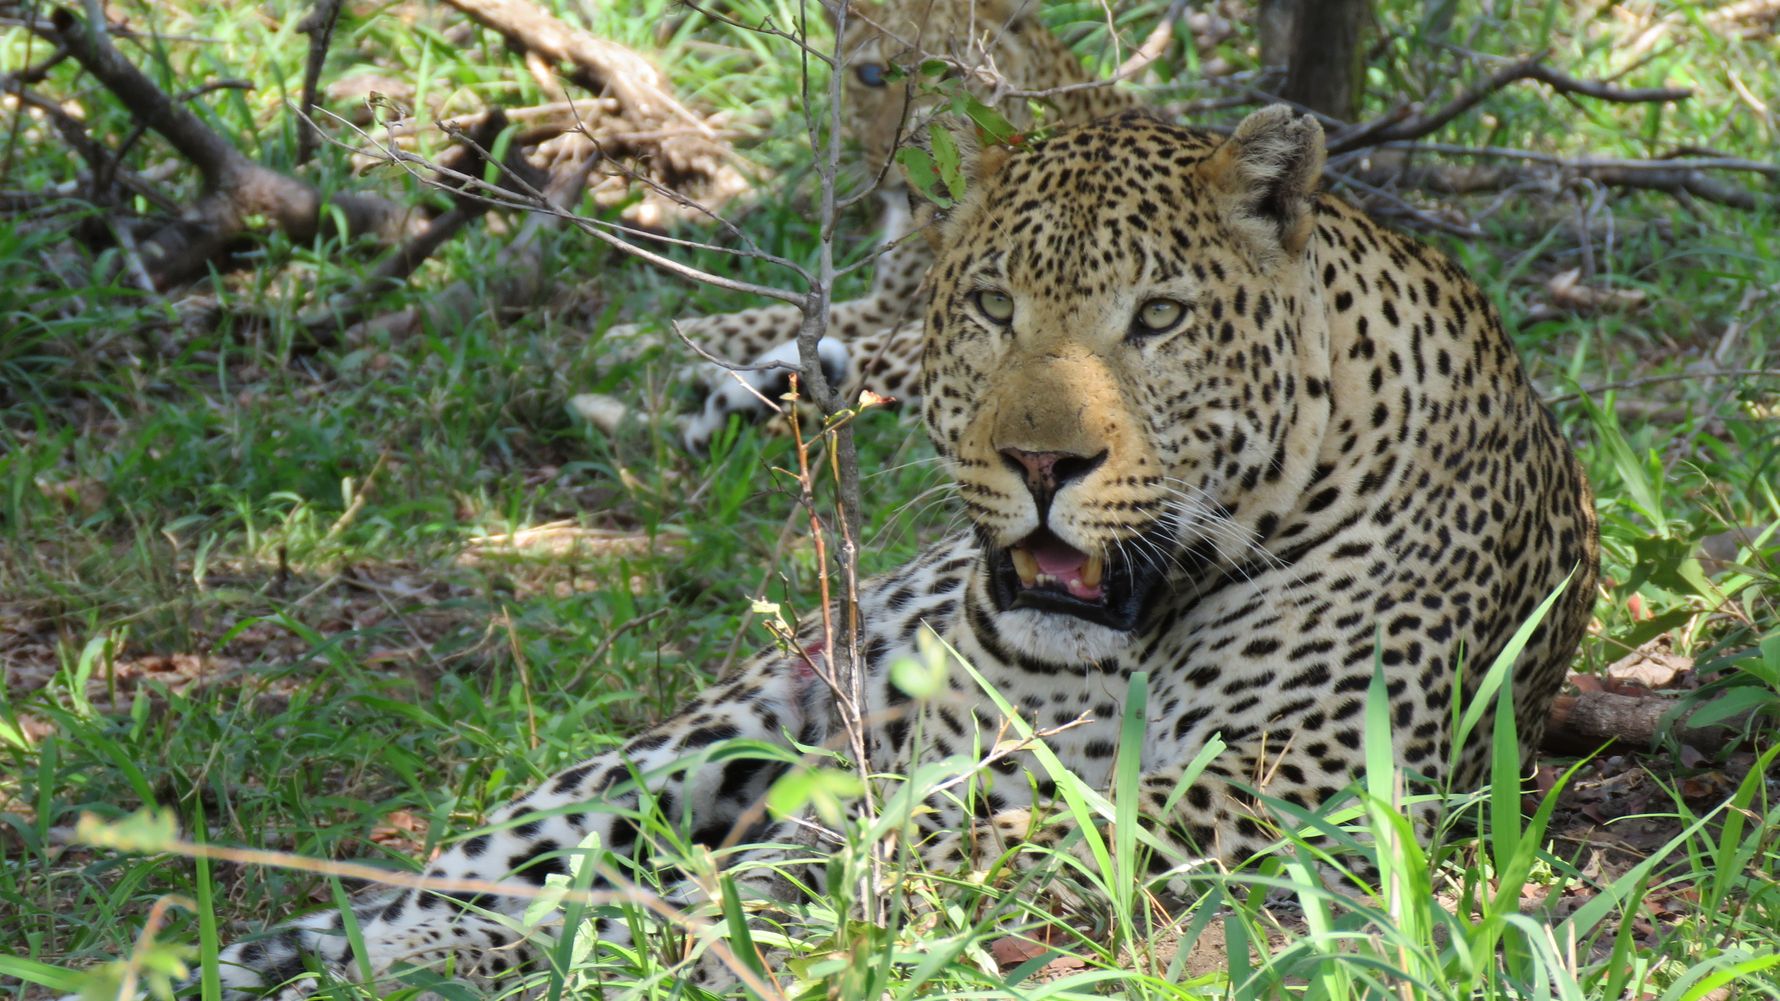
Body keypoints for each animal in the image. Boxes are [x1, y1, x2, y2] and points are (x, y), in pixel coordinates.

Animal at [186, 107, 1598, 996]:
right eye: (991, 304)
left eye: (1158, 317)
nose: (1040, 465)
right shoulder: (947, 764)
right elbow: (797, 861)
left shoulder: (1268, 797)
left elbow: (861, 864)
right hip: (701, 734)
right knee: (464, 871)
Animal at [574, 0, 1142, 453]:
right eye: (871, 77)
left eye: (956, 78)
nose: (912, 159)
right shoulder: (886, 301)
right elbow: (763, 315)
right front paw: (633, 338)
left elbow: (776, 327)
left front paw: (639, 347)